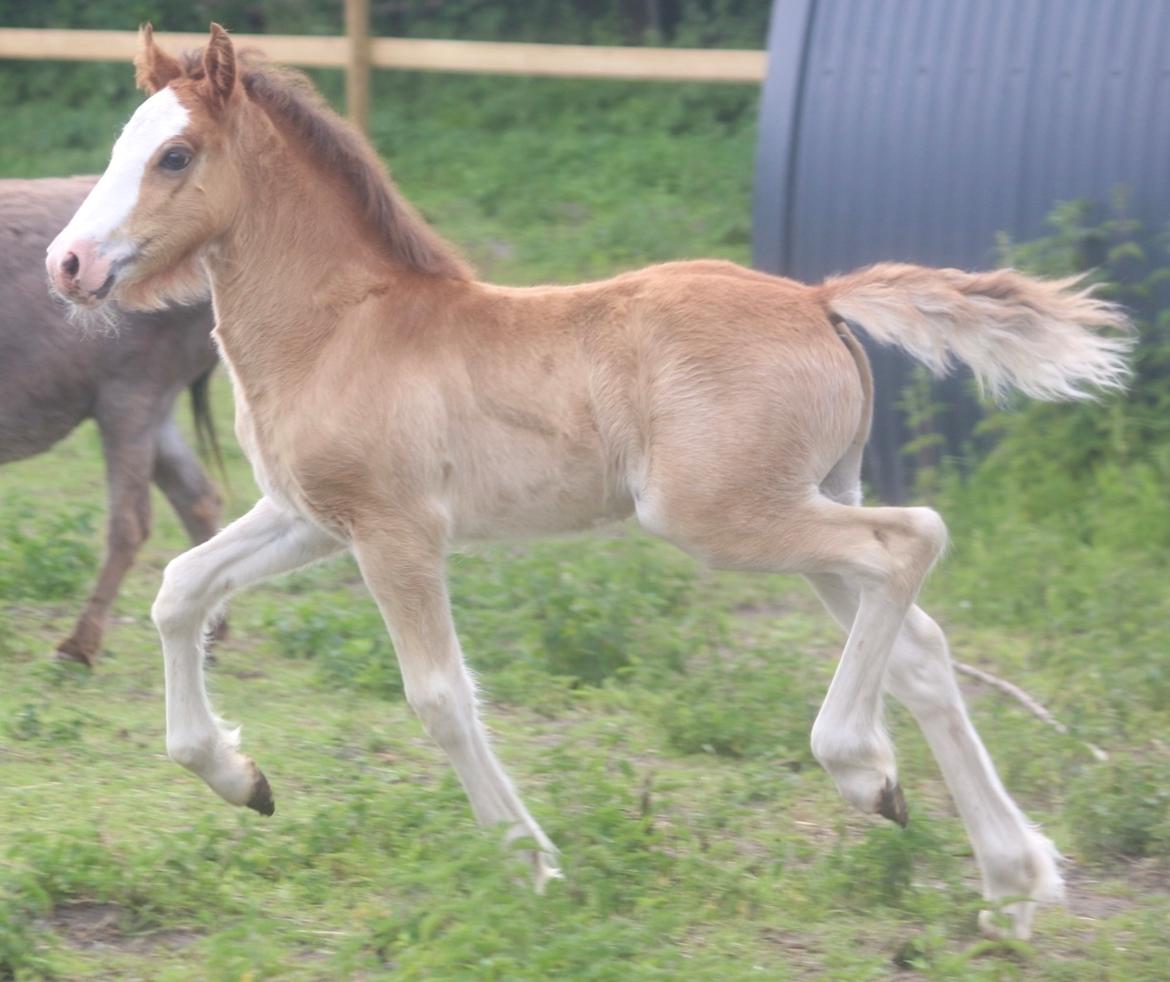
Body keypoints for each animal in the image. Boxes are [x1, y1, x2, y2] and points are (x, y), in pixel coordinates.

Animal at [1, 176, 221, 669]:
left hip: (128, 399)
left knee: (131, 524)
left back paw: (79, 646)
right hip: (154, 410)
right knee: (198, 498)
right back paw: (213, 634)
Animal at [47, 26, 1132, 941]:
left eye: (175, 156)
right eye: (121, 143)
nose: (69, 263)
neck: (343, 325)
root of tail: (819, 299)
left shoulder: (396, 532)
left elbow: (438, 695)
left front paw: (533, 865)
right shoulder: (309, 517)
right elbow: (180, 590)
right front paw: (241, 777)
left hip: (726, 516)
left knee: (914, 539)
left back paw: (865, 772)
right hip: (804, 505)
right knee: (921, 646)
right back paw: (1010, 881)